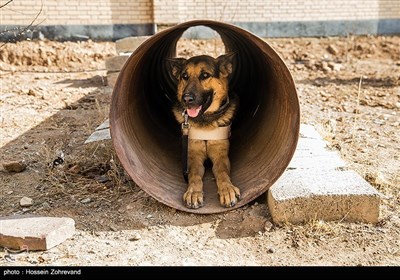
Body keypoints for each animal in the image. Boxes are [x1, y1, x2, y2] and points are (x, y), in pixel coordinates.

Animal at [166, 53, 241, 209]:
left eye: (205, 75)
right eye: (185, 76)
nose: (187, 99)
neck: (204, 119)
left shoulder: (221, 155)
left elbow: (222, 172)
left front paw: (227, 190)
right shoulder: (193, 157)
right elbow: (194, 175)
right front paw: (193, 193)